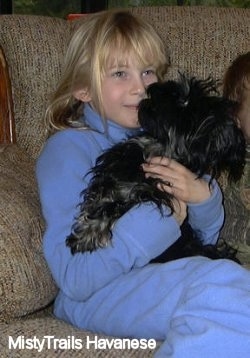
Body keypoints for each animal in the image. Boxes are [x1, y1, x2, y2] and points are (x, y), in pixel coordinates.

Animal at [66, 73, 246, 262]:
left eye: (184, 102)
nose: (153, 87)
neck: (157, 148)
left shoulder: (149, 193)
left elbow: (113, 205)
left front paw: (88, 234)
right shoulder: (115, 170)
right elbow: (104, 196)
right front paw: (86, 231)